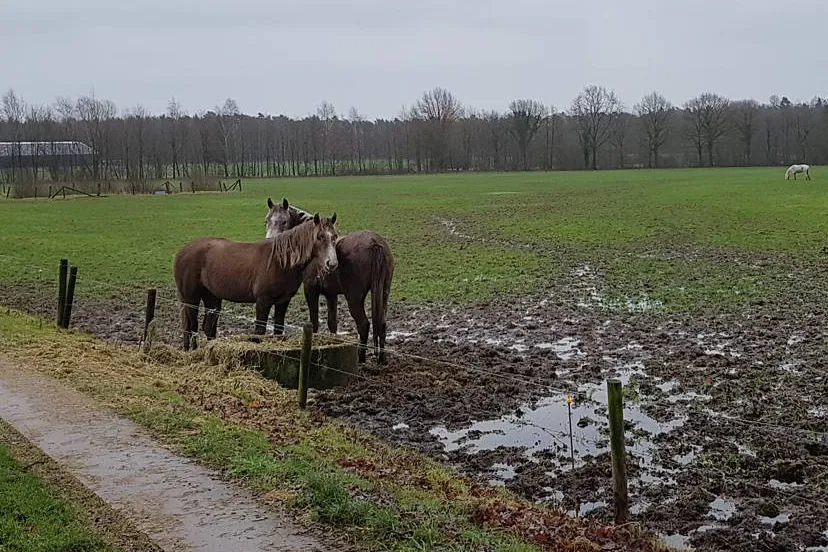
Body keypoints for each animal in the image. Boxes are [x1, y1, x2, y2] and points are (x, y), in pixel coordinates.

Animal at [174, 212, 338, 350]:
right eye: (319, 237)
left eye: (335, 236)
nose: (332, 263)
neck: (280, 261)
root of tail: (182, 251)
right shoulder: (263, 302)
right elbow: (259, 331)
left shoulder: (282, 302)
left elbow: (278, 329)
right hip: (191, 299)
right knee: (192, 326)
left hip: (212, 298)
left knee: (207, 327)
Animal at [265, 197, 395, 364]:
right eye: (267, 220)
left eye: (284, 221)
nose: (270, 242)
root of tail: (375, 243)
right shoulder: (331, 295)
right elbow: (332, 323)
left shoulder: (310, 290)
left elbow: (314, 321)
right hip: (383, 293)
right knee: (382, 324)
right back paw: (381, 358)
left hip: (354, 298)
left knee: (364, 325)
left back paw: (361, 357)